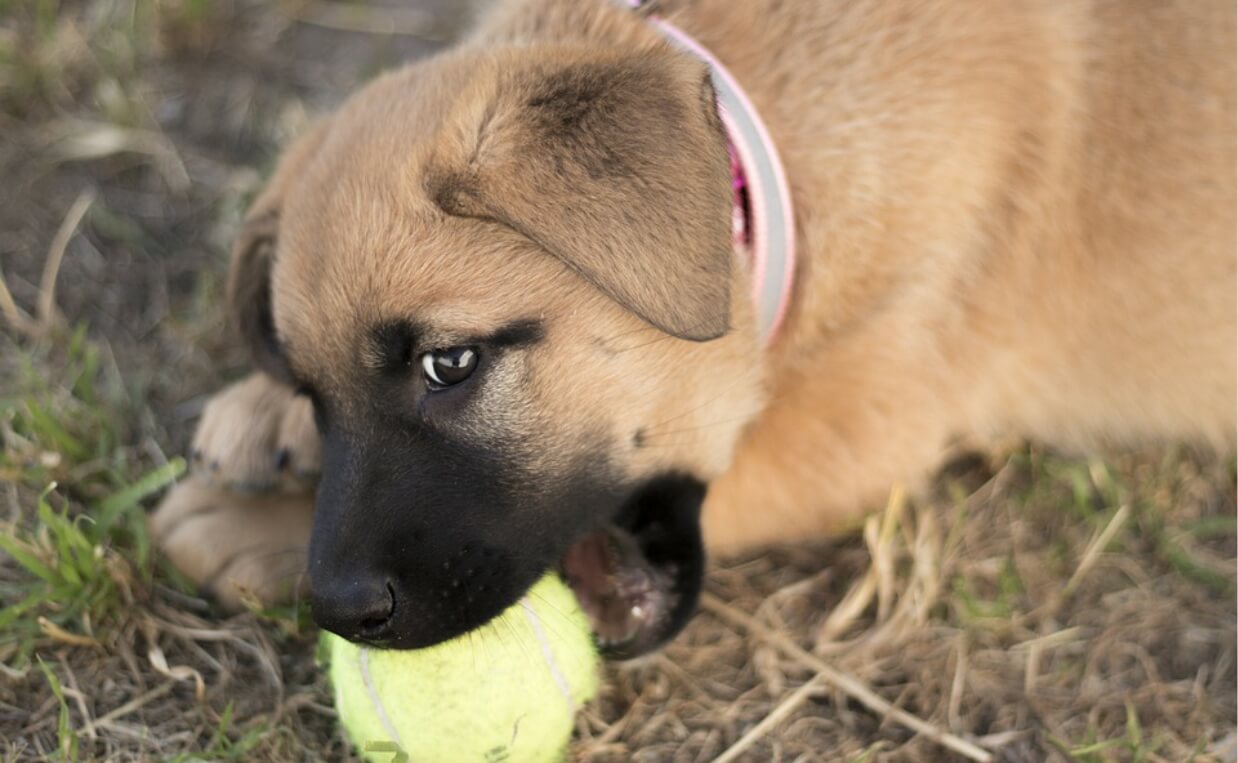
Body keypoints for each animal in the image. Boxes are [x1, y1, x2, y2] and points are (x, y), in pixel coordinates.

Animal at [154, 0, 1238, 654]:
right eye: (314, 393)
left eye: (448, 363)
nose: (341, 609)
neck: (769, 181)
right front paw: (260, 418)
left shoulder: (864, 423)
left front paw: (253, 526)